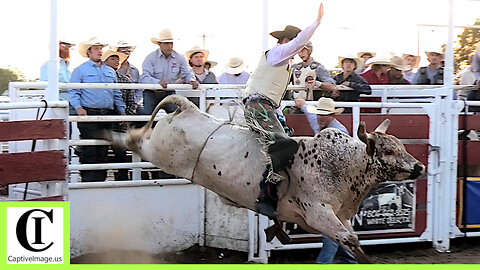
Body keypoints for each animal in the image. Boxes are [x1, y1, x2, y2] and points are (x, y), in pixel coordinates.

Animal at [110, 94, 426, 262]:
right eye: (387, 150)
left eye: (400, 145)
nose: (420, 167)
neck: (343, 164)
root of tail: (190, 108)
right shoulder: (317, 212)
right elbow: (349, 238)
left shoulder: (338, 215)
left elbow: (348, 240)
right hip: (161, 152)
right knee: (135, 140)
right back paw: (111, 134)